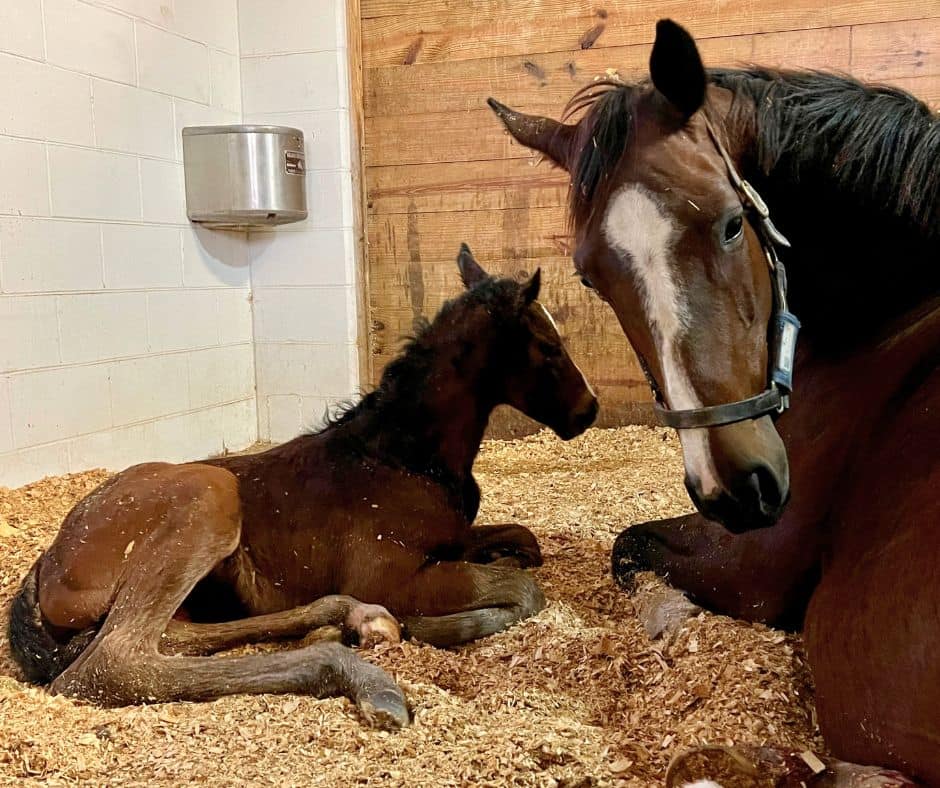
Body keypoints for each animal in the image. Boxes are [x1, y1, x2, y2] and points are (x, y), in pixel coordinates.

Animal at [8, 244, 598, 727]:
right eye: (548, 345)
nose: (588, 410)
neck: (402, 458)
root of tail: (48, 563)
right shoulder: (391, 575)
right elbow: (525, 591)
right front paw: (435, 627)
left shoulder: (455, 540)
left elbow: (524, 541)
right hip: (209, 495)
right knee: (115, 664)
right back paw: (365, 675)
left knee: (173, 638)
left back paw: (348, 621)